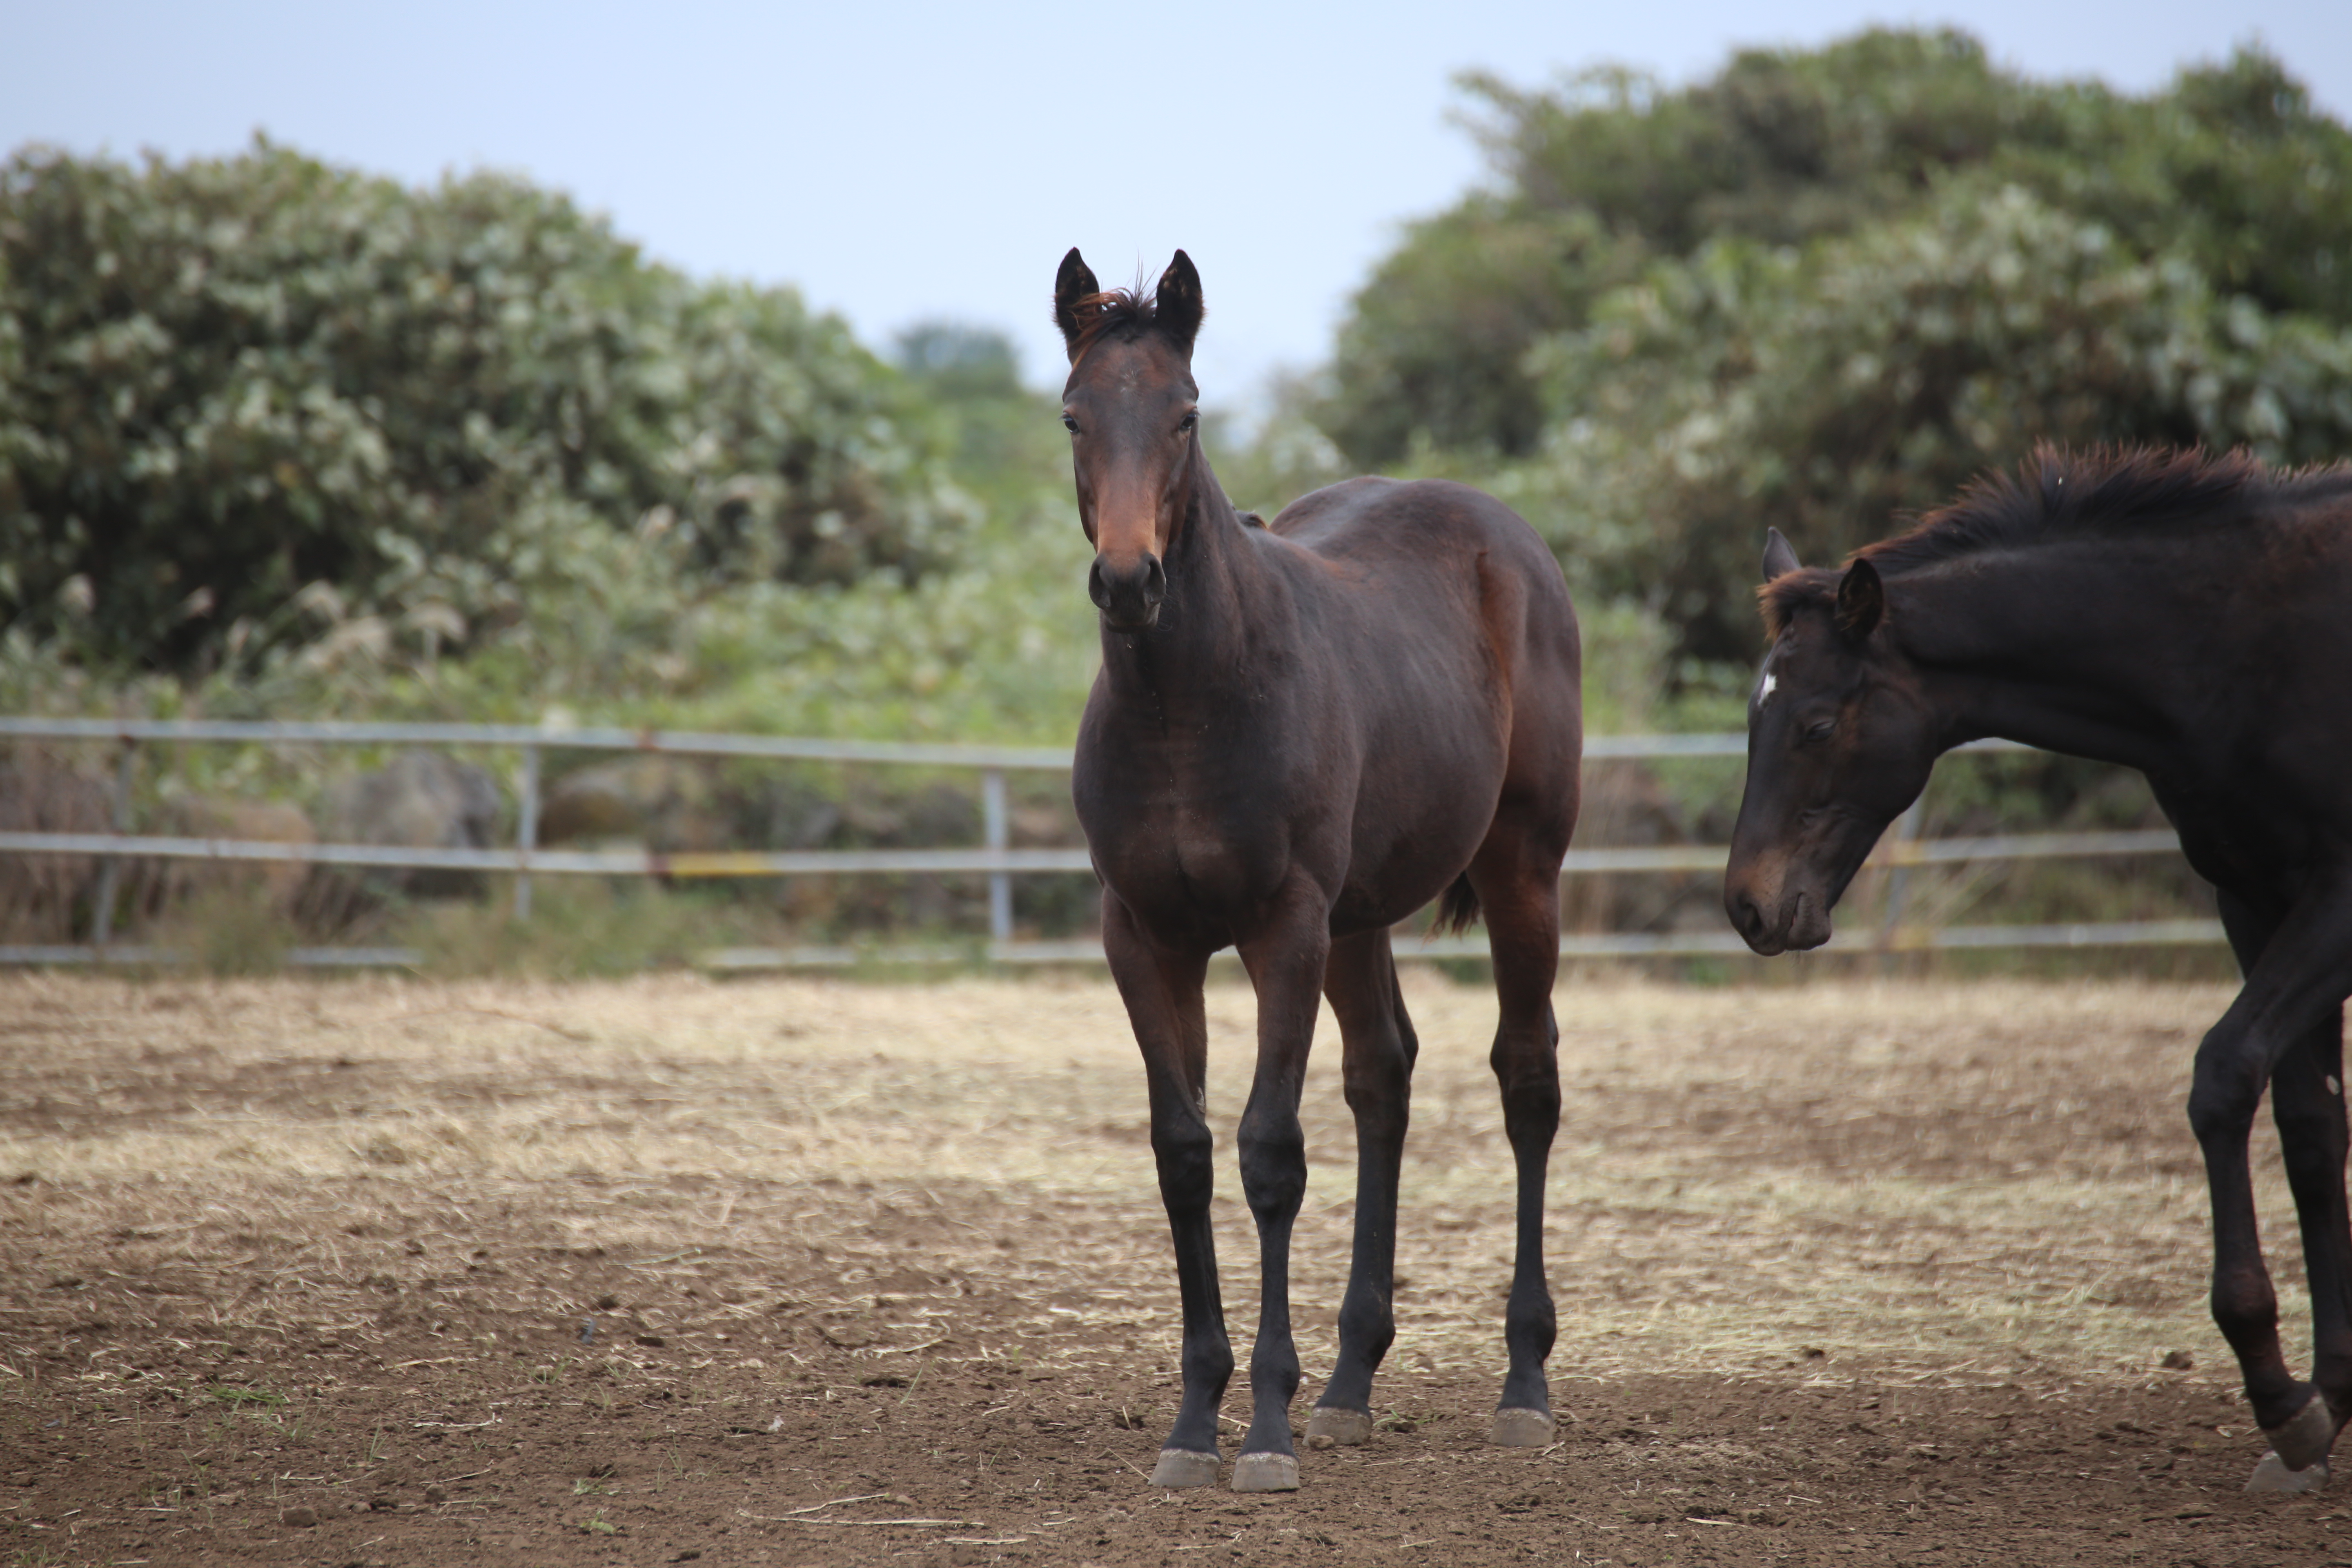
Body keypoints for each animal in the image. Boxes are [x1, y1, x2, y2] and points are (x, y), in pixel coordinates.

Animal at [1063, 248, 1580, 1495]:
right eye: (1071, 416)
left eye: (1187, 412)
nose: (1128, 583)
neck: (1189, 706)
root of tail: (1506, 537)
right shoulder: (1143, 937)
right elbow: (1185, 1153)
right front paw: (1193, 1422)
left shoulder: (1281, 928)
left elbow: (1269, 1154)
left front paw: (1263, 1429)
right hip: (1360, 919)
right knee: (1383, 1077)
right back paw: (1350, 1383)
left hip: (1521, 871)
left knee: (1527, 1080)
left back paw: (1522, 1384)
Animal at [1722, 451, 2352, 1495]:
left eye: (1812, 724)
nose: (1747, 906)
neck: (2231, 643)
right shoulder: (2255, 898)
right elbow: (2310, 1128)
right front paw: (2326, 1400)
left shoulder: (2337, 898)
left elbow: (2224, 1074)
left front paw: (2276, 1389)